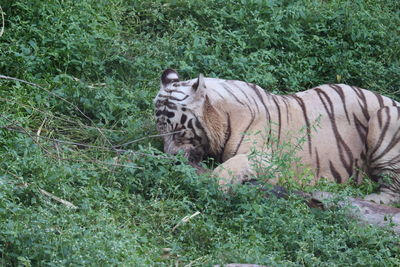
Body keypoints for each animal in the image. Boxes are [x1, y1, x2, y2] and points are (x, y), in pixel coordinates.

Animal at [155, 69, 400, 205]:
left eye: (179, 132)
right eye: (160, 132)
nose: (171, 160)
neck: (222, 115)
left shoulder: (272, 161)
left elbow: (232, 164)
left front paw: (216, 186)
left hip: (385, 116)